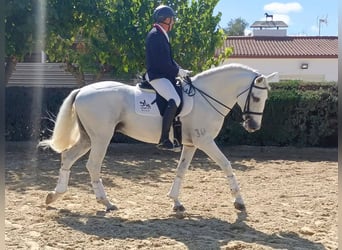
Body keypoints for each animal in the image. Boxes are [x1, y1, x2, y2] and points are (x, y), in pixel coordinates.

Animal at [38, 63, 278, 213]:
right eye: (257, 98)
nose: (253, 126)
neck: (206, 97)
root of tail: (82, 91)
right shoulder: (205, 141)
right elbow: (227, 165)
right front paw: (239, 202)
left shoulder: (191, 144)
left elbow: (181, 170)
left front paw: (176, 202)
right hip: (101, 138)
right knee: (93, 166)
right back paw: (106, 203)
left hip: (88, 138)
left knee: (68, 158)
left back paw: (54, 195)